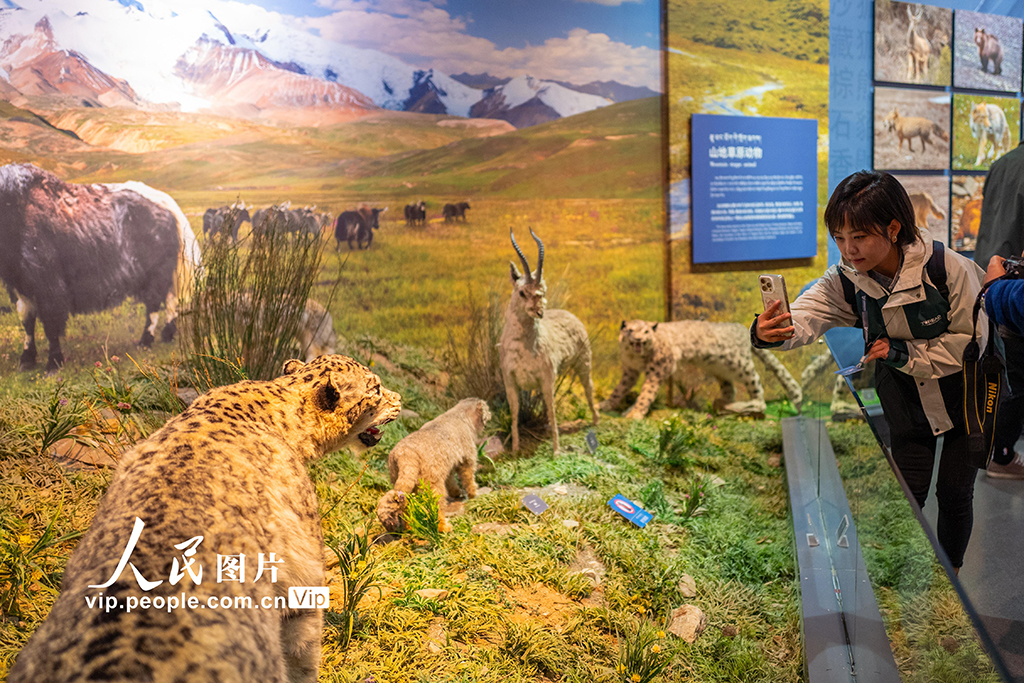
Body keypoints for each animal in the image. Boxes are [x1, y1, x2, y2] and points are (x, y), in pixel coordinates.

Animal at [602, 321, 802, 421]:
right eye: (630, 330)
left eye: (645, 332)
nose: (637, 339)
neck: (636, 358)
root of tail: (745, 328)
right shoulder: (630, 372)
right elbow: (618, 390)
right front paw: (605, 405)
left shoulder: (659, 368)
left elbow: (647, 392)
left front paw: (634, 413)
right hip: (719, 368)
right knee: (730, 388)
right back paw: (724, 405)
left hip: (740, 365)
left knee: (757, 385)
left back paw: (746, 405)